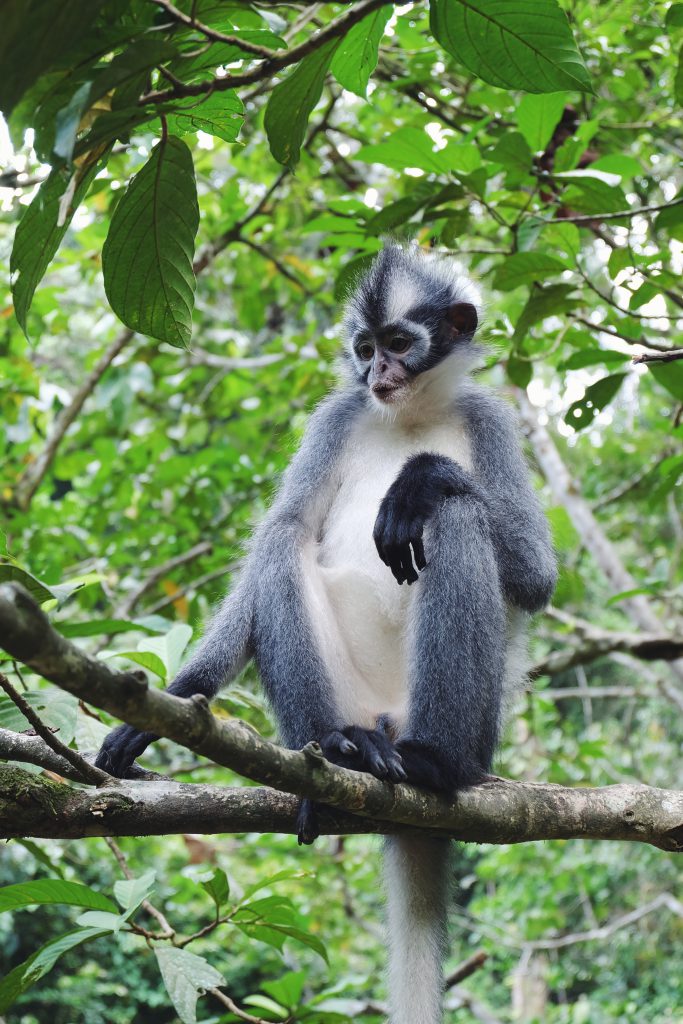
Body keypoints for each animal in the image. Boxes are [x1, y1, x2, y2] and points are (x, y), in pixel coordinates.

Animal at [94, 243, 557, 1019]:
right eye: (365, 349)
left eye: (400, 342)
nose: (377, 375)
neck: (407, 416)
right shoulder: (338, 417)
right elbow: (283, 531)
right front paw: (176, 697)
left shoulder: (489, 421)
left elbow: (534, 576)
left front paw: (419, 477)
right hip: (346, 697)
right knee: (285, 542)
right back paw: (338, 753)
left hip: (474, 724)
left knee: (455, 514)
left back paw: (434, 764)